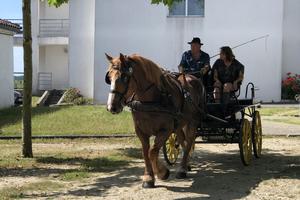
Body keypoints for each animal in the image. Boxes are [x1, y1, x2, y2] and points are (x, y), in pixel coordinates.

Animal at [104, 52, 205, 188]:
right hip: (178, 124)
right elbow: (145, 152)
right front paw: (148, 177)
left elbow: (152, 151)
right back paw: (186, 164)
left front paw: (162, 172)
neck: (150, 100)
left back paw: (182, 169)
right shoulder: (141, 131)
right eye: (109, 77)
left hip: (192, 121)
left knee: (189, 142)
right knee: (182, 141)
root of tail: (193, 77)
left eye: (124, 76)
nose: (112, 107)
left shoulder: (165, 130)